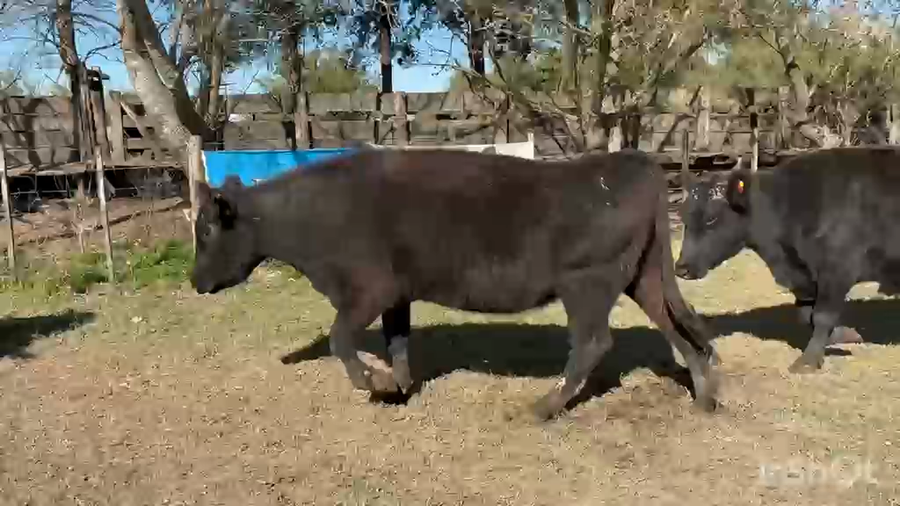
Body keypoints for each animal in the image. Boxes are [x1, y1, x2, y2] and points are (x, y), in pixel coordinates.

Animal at [190, 147, 720, 420]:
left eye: (207, 230)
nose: (194, 280)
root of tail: (630, 162)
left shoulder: (367, 290)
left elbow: (341, 339)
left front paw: (375, 383)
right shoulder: (397, 294)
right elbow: (397, 341)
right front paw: (399, 386)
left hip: (587, 284)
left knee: (593, 343)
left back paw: (544, 407)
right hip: (644, 278)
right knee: (677, 326)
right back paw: (705, 395)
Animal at [675, 146, 900, 373]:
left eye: (711, 219)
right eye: (684, 217)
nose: (681, 268)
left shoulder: (837, 270)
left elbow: (822, 315)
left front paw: (808, 361)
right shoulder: (804, 277)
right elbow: (806, 314)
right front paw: (844, 334)